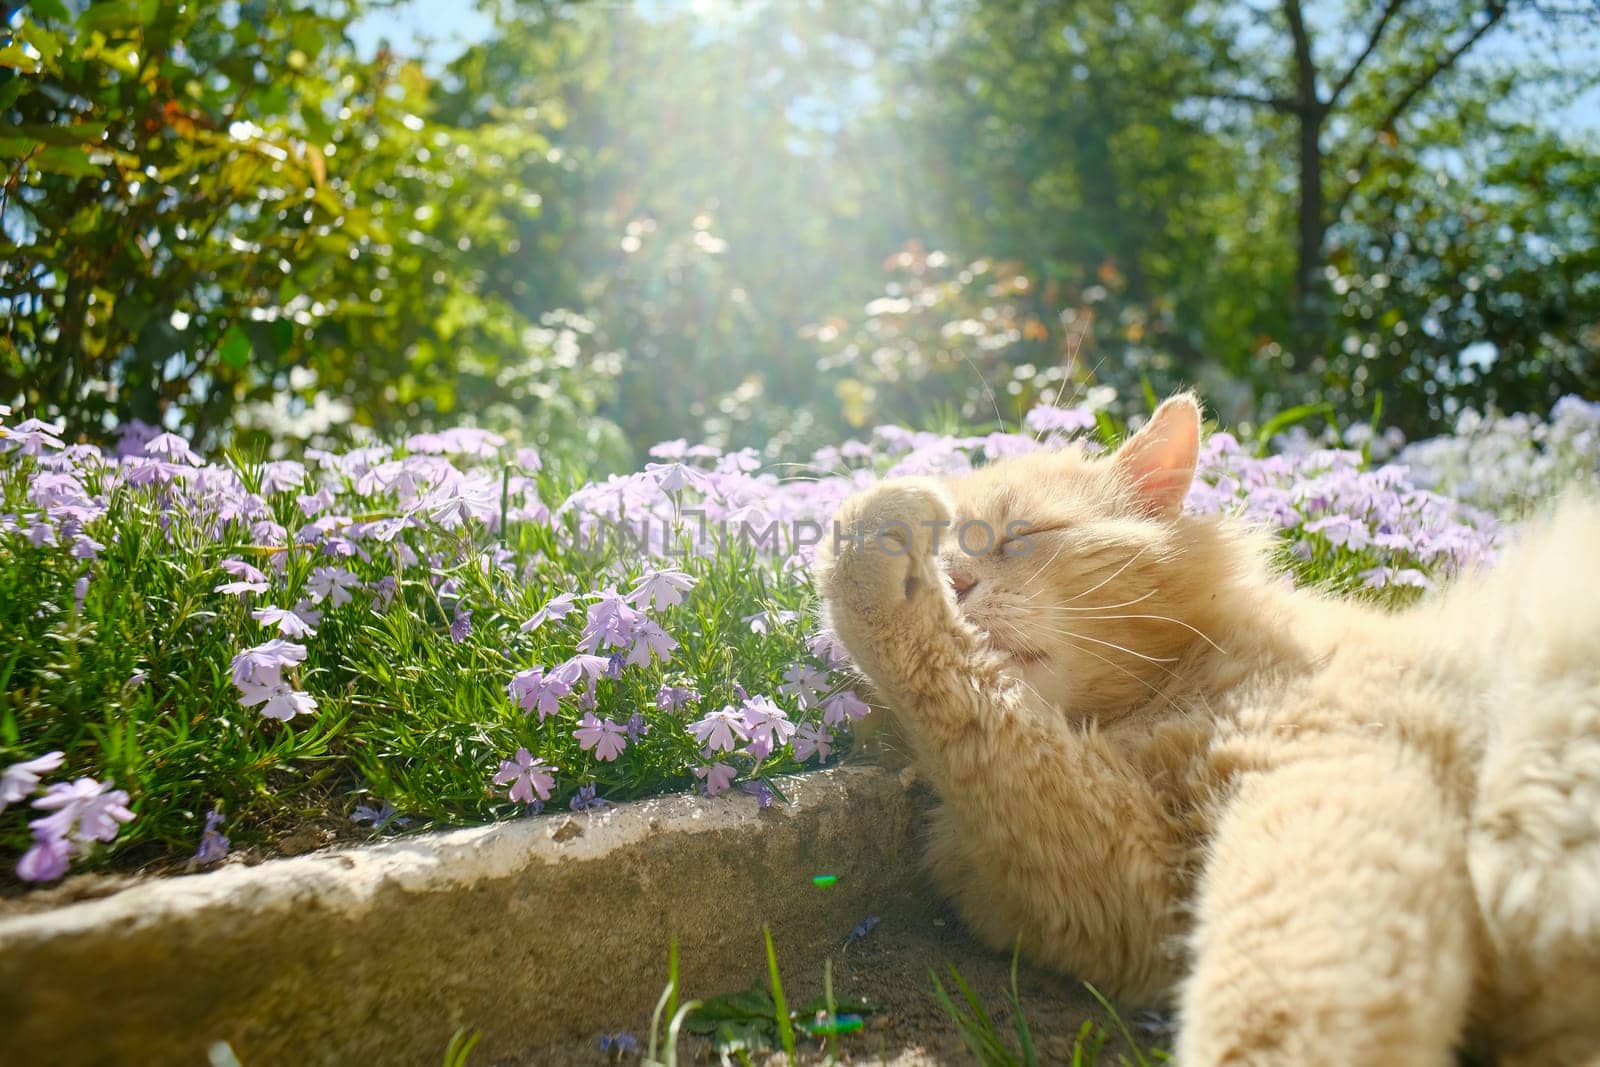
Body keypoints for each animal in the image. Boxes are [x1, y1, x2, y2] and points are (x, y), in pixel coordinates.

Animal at [819, 396, 1600, 1062]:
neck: (1161, 697)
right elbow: (987, 722)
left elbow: (1273, 1011)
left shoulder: (1324, 788)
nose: (954, 577)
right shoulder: (1137, 887)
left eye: (1019, 537)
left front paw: (866, 532)